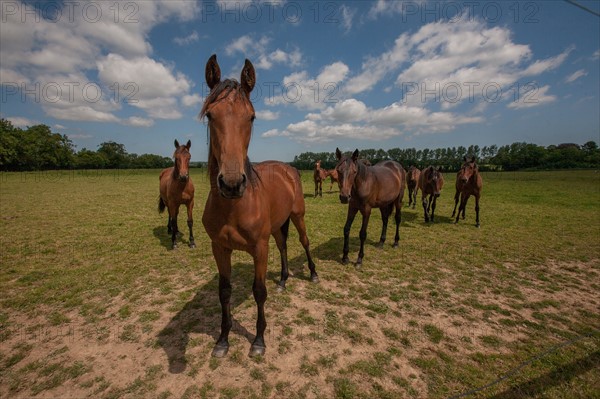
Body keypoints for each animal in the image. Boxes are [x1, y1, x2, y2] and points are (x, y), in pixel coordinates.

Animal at [199, 54, 318, 360]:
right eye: (210, 115)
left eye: (251, 116)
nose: (231, 183)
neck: (233, 208)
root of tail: (289, 168)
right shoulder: (220, 248)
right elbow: (224, 292)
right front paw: (223, 340)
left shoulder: (259, 248)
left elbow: (259, 291)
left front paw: (259, 341)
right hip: (278, 226)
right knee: (284, 245)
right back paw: (284, 280)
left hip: (298, 216)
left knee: (304, 241)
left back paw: (313, 274)